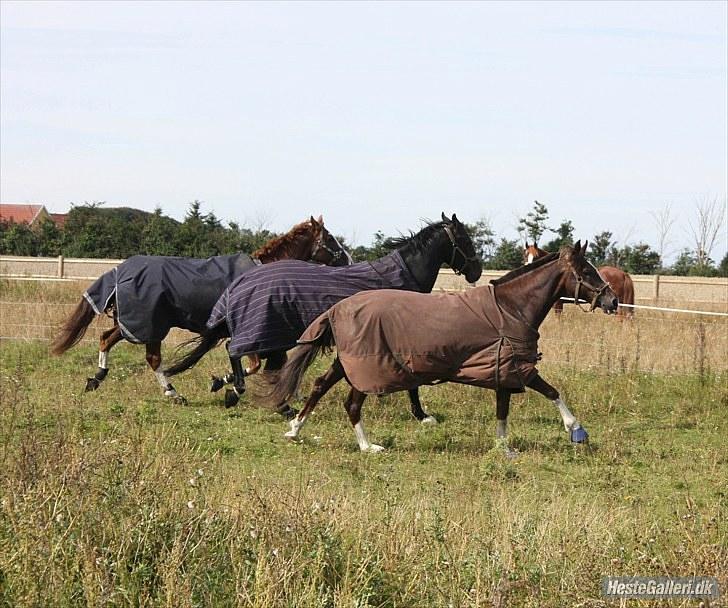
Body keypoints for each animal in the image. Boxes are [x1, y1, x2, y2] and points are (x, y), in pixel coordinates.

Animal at [51, 215, 350, 404]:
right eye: (330, 238)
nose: (348, 259)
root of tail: (119, 271)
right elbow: (251, 364)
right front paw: (230, 387)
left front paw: (222, 381)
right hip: (151, 325)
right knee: (152, 359)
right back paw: (172, 393)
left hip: (134, 324)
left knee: (106, 338)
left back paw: (97, 378)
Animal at [165, 211, 484, 416]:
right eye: (467, 241)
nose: (477, 272)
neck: (401, 277)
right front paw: (421, 414)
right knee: (239, 350)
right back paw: (244, 391)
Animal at [264, 240, 616, 454]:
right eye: (587, 271)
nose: (611, 300)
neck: (512, 307)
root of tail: (338, 308)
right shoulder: (521, 369)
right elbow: (553, 392)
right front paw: (577, 431)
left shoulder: (504, 368)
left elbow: (503, 410)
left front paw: (503, 448)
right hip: (366, 368)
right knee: (351, 403)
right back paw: (368, 446)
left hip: (348, 362)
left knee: (321, 385)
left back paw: (295, 429)